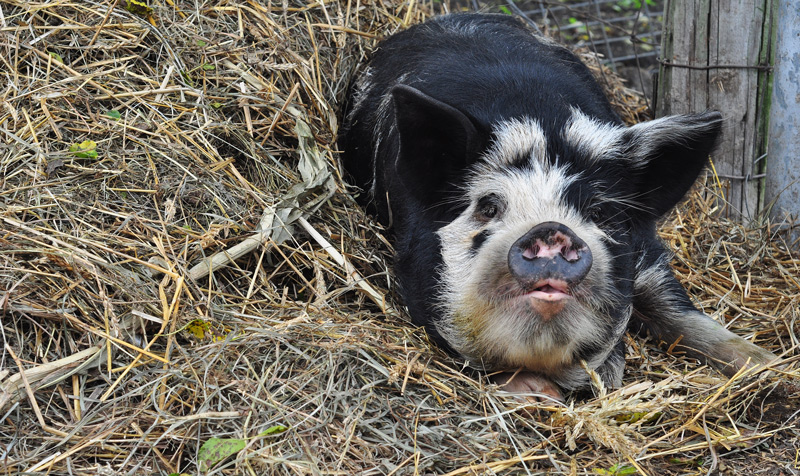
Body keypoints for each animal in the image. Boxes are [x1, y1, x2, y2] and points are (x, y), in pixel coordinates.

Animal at [339, 13, 777, 399]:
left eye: (599, 213)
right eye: (489, 207)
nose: (551, 229)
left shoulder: (646, 252)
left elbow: (676, 309)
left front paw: (770, 366)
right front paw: (542, 394)